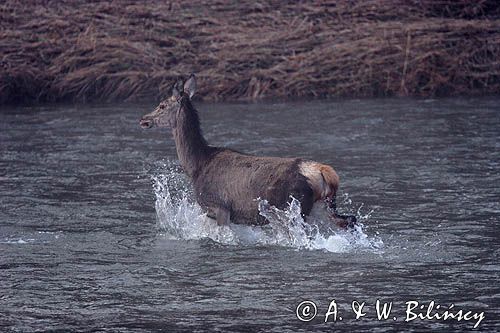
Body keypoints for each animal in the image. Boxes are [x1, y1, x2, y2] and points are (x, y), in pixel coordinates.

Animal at [140, 73, 356, 227]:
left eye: (162, 105)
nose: (143, 119)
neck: (196, 166)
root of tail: (323, 172)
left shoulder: (219, 206)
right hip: (324, 206)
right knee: (350, 220)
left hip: (292, 207)